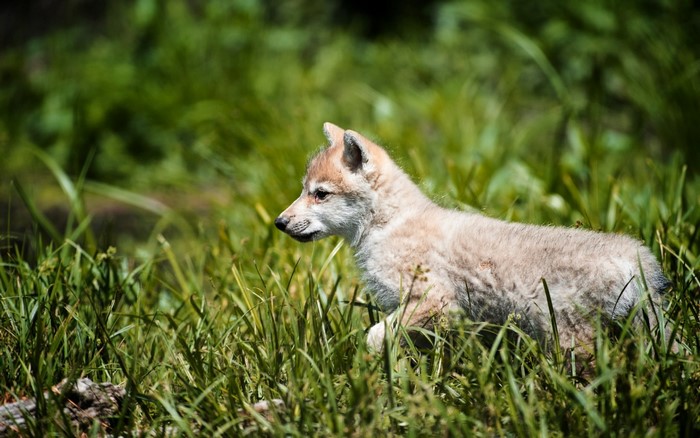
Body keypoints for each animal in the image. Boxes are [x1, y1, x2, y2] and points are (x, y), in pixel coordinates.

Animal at [275, 122, 672, 354]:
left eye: (320, 194)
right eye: (304, 190)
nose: (279, 222)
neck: (388, 226)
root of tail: (637, 258)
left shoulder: (433, 299)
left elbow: (373, 337)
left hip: (568, 335)